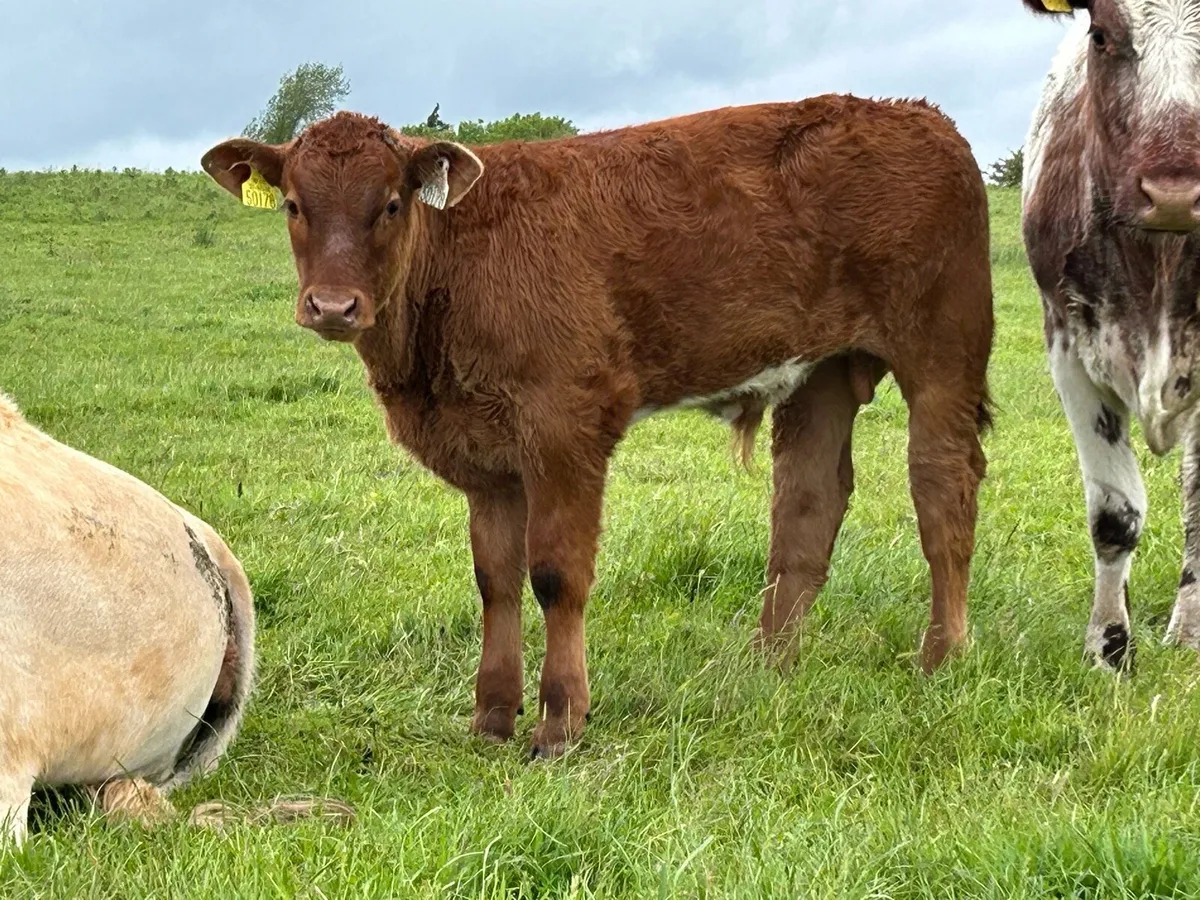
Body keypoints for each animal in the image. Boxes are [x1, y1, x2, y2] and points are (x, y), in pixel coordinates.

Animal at [202, 96, 994, 758]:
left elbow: (556, 574)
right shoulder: (486, 459)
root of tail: (924, 117)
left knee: (942, 491)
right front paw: (492, 716)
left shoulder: (566, 426)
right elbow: (495, 579)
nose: (333, 306)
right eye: (294, 205)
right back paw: (767, 666)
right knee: (807, 506)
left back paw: (943, 656)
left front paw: (559, 721)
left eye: (392, 203)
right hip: (823, 371)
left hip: (943, 351)